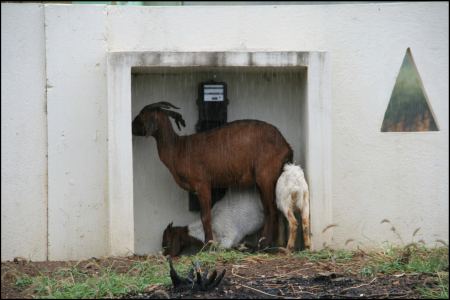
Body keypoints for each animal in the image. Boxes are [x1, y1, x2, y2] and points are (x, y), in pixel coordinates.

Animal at [132, 102, 294, 247]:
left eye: (141, 115)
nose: (131, 128)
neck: (178, 149)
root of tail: (286, 145)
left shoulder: (202, 184)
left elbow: (205, 216)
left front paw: (208, 244)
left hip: (266, 176)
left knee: (272, 210)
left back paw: (266, 243)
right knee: (271, 210)